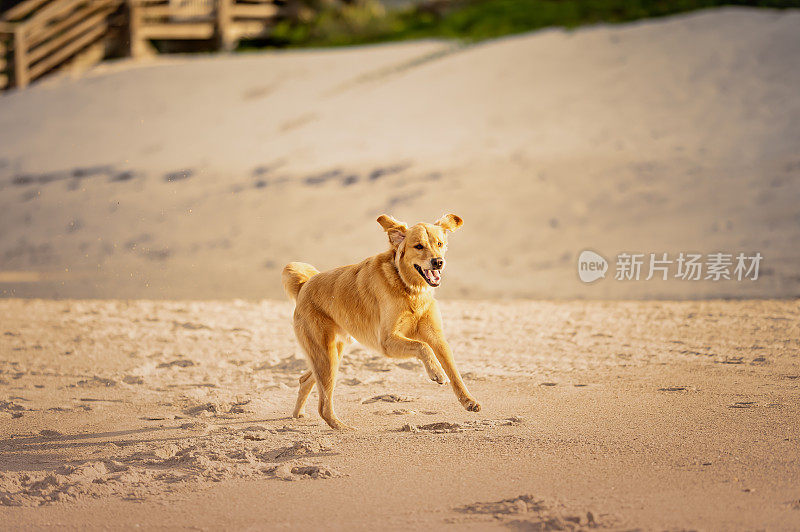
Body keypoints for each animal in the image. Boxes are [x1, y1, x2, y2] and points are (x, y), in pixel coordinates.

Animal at [282, 212, 482, 428]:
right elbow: (422, 346)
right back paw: (343, 428)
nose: (438, 262)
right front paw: (436, 372)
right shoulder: (386, 341)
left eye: (439, 243)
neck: (409, 288)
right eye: (419, 246)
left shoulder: (437, 337)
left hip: (332, 353)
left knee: (304, 380)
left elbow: (454, 372)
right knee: (323, 406)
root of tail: (304, 285)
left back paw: (298, 414)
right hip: (325, 355)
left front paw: (468, 401)